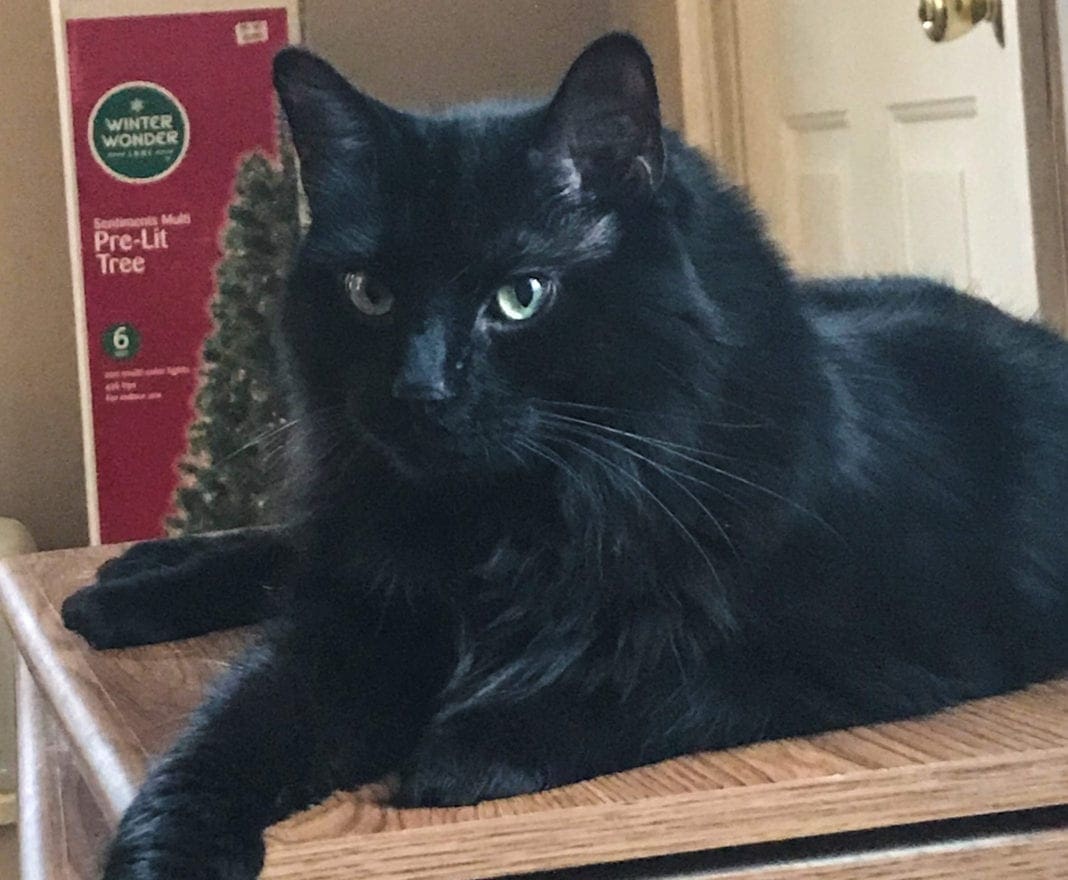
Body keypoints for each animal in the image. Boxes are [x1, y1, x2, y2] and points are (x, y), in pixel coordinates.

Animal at [60, 30, 1068, 875]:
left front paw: (463, 745)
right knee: (286, 549)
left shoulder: (877, 646)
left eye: (521, 297)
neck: (510, 527)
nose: (420, 390)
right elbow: (228, 735)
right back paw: (126, 585)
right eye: (369, 292)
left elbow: (661, 676)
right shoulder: (354, 625)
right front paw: (163, 853)